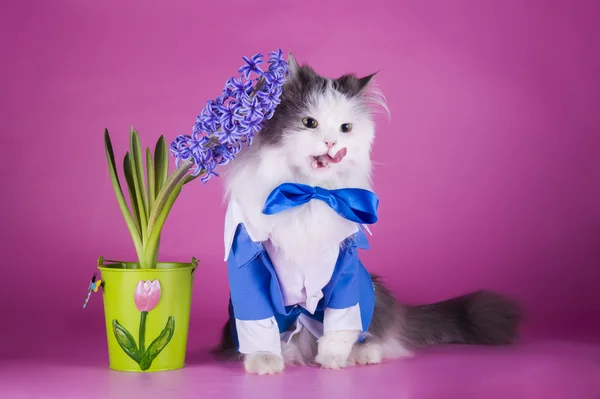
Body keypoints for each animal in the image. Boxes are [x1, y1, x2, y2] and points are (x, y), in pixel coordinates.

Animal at [216, 53, 520, 376]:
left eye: (345, 128)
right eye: (309, 123)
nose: (331, 143)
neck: (309, 192)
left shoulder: (346, 264)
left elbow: (340, 326)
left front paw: (333, 358)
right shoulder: (247, 258)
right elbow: (258, 322)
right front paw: (264, 359)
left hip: (370, 289)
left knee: (373, 333)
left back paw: (361, 353)